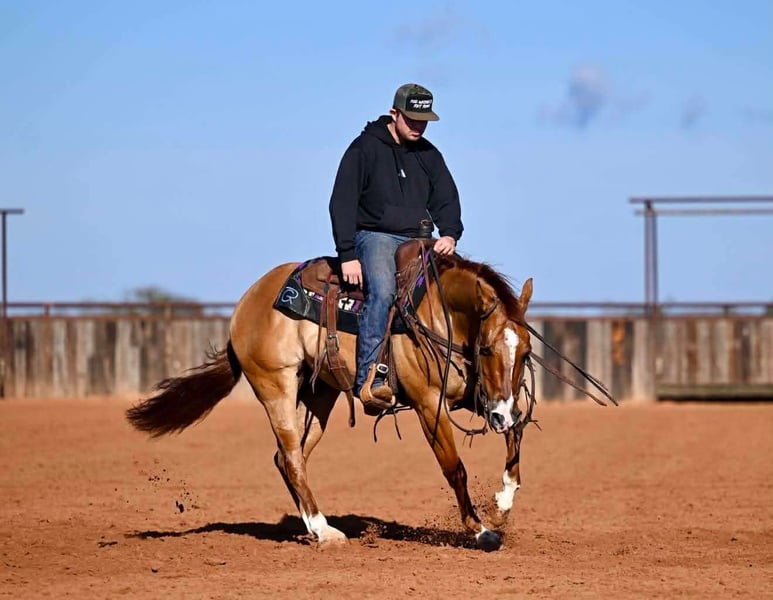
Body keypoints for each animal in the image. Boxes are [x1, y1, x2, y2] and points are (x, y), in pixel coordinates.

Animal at [126, 243, 535, 551]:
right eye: (487, 349)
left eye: (526, 351)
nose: (500, 416)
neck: (436, 311)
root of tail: (246, 305)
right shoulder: (427, 402)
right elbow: (454, 468)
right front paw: (481, 531)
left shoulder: (481, 397)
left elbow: (516, 434)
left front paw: (503, 501)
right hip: (276, 387)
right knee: (292, 457)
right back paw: (325, 531)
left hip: (321, 393)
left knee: (287, 458)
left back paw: (312, 527)